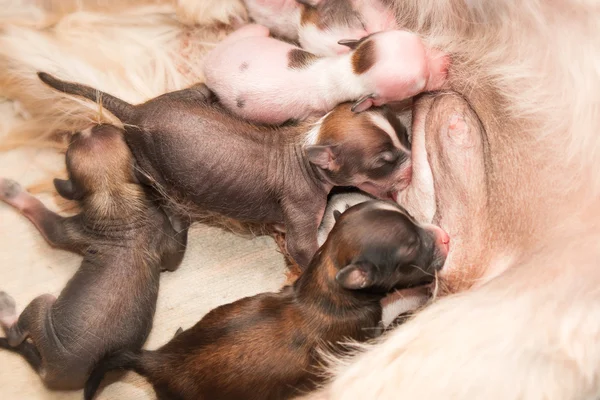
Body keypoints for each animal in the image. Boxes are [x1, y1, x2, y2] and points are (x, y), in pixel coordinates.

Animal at [0, 125, 189, 390]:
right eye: (116, 133)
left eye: (72, 145)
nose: (86, 127)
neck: (113, 192)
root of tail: (50, 374)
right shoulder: (161, 234)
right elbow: (175, 253)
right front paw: (175, 204)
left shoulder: (73, 227)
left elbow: (40, 213)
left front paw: (11, 191)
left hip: (42, 311)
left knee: (16, 337)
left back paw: (6, 307)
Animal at [37, 73, 412, 270]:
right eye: (383, 162)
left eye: (406, 136)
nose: (412, 165)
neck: (309, 143)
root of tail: (135, 113)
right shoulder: (301, 209)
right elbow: (304, 249)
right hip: (148, 166)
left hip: (187, 96)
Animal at [84, 200, 450, 400]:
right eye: (410, 249)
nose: (445, 236)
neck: (326, 285)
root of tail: (155, 360)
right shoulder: (362, 341)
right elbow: (395, 325)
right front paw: (417, 305)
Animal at [204, 24, 448, 124]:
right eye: (420, 84)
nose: (447, 64)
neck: (346, 71)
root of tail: (208, 63)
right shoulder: (314, 113)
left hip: (249, 35)